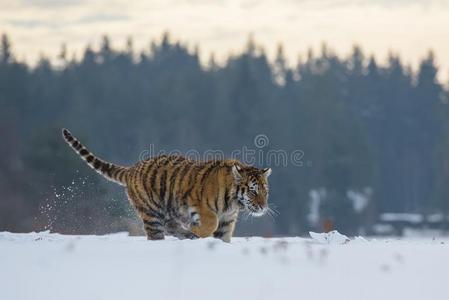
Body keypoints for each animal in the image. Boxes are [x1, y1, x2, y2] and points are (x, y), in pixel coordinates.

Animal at [61, 128, 272, 241]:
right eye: (253, 191)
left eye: (265, 192)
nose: (263, 207)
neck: (233, 203)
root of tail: (132, 169)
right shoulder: (202, 207)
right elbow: (210, 224)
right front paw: (196, 230)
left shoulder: (227, 221)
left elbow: (223, 237)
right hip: (151, 214)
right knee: (156, 234)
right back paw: (186, 233)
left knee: (170, 226)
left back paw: (186, 234)